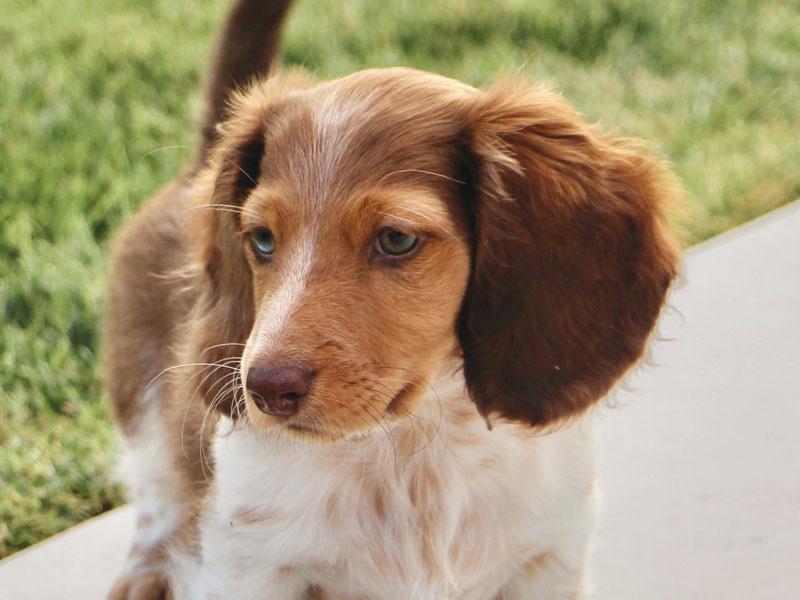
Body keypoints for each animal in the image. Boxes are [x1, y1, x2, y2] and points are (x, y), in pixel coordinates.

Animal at [105, 1, 681, 598]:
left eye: (396, 240)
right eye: (262, 239)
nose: (264, 389)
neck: (410, 444)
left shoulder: (549, 555)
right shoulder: (245, 570)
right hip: (143, 410)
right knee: (156, 501)